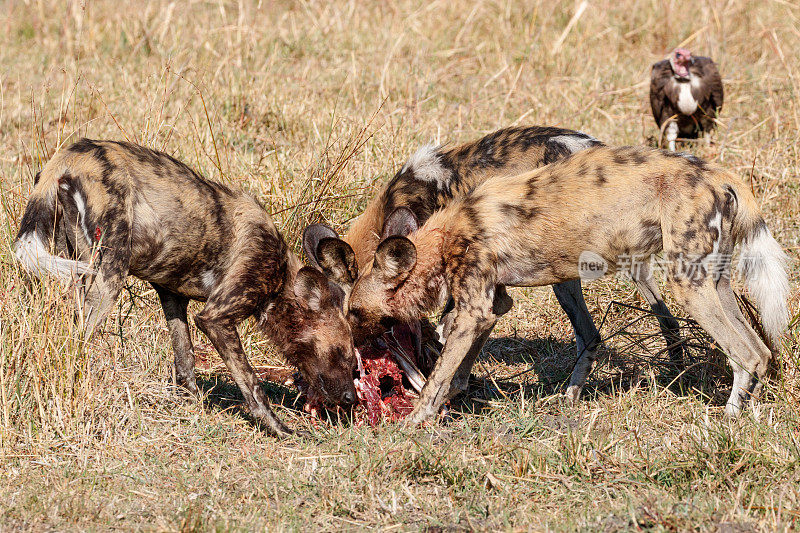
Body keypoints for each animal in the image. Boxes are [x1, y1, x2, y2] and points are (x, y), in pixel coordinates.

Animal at [11, 138, 356, 436]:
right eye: (344, 354)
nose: (352, 399)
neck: (281, 276)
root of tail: (68, 156)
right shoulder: (216, 317)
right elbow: (252, 385)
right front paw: (280, 429)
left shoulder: (172, 296)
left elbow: (185, 360)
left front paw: (190, 404)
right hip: (108, 277)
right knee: (78, 340)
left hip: (68, 264)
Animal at [304, 124, 684, 400]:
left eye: (351, 314)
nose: (352, 353)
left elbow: (445, 337)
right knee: (665, 320)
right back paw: (676, 375)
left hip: (561, 273)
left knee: (590, 335)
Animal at [346, 147, 792, 424]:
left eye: (353, 311)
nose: (350, 347)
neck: (442, 238)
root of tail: (717, 173)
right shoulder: (490, 309)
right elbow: (456, 371)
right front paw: (451, 401)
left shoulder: (474, 312)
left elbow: (438, 376)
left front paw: (414, 420)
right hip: (714, 284)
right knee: (761, 351)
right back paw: (749, 413)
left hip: (688, 287)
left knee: (746, 354)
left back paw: (728, 420)